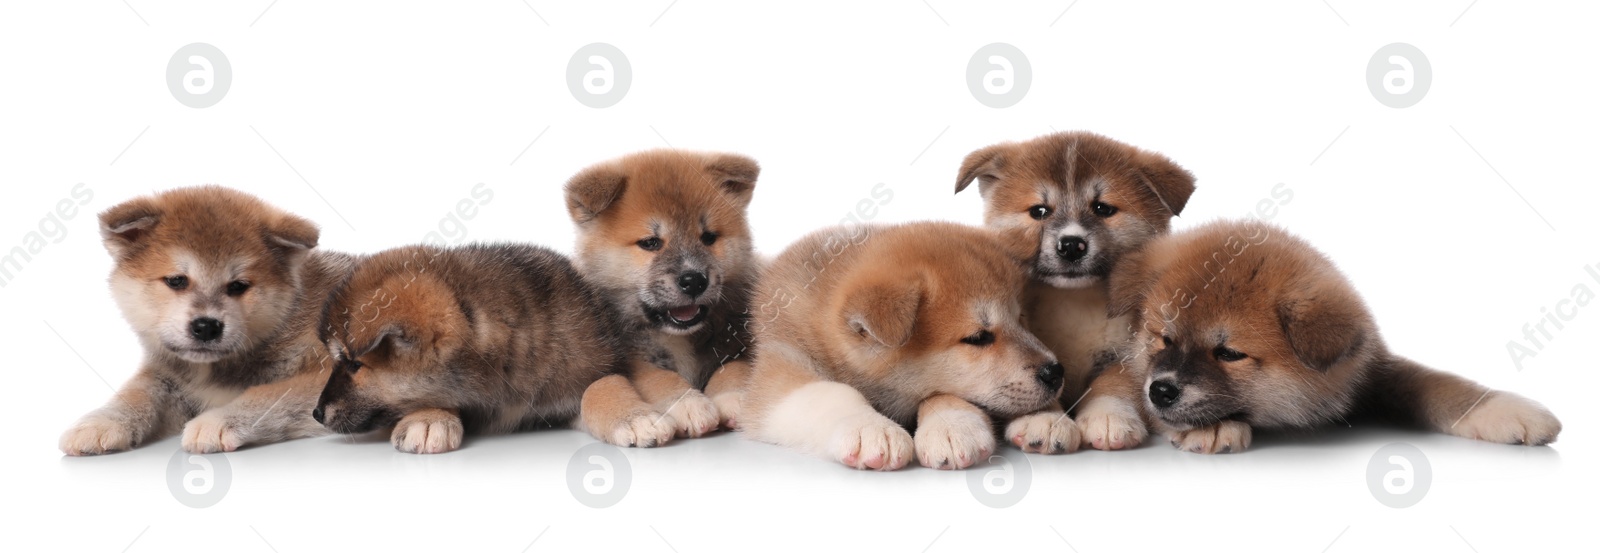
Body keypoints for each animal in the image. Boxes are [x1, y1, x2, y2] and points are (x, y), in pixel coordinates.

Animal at [60, 187, 355, 457]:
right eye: (176, 280)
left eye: (238, 286)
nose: (207, 327)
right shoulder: (166, 376)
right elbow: (136, 391)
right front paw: (102, 421)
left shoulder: (329, 373)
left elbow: (272, 393)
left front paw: (217, 420)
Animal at [953, 131, 1196, 450]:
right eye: (1039, 211)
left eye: (1103, 208)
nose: (1070, 245)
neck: (1076, 303)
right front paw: (1042, 419)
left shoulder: (1129, 352)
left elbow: (1112, 383)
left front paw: (1109, 416)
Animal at [1113, 220, 1561, 453]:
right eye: (1163, 338)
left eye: (1229, 354)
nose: (1161, 391)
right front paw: (1211, 427)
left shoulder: (1374, 369)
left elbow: (1437, 384)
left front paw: (1501, 409)